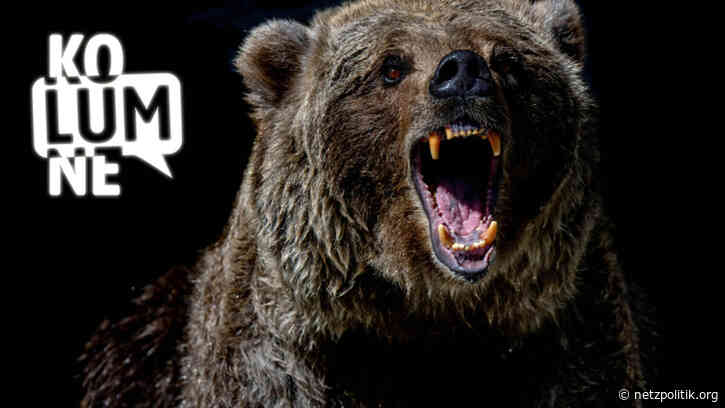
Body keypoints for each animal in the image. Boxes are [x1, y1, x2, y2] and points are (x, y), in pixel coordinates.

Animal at [80, 0, 657, 406]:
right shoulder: (281, 358)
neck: (426, 310)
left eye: (508, 60)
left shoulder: (565, 338)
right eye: (391, 67)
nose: (462, 71)